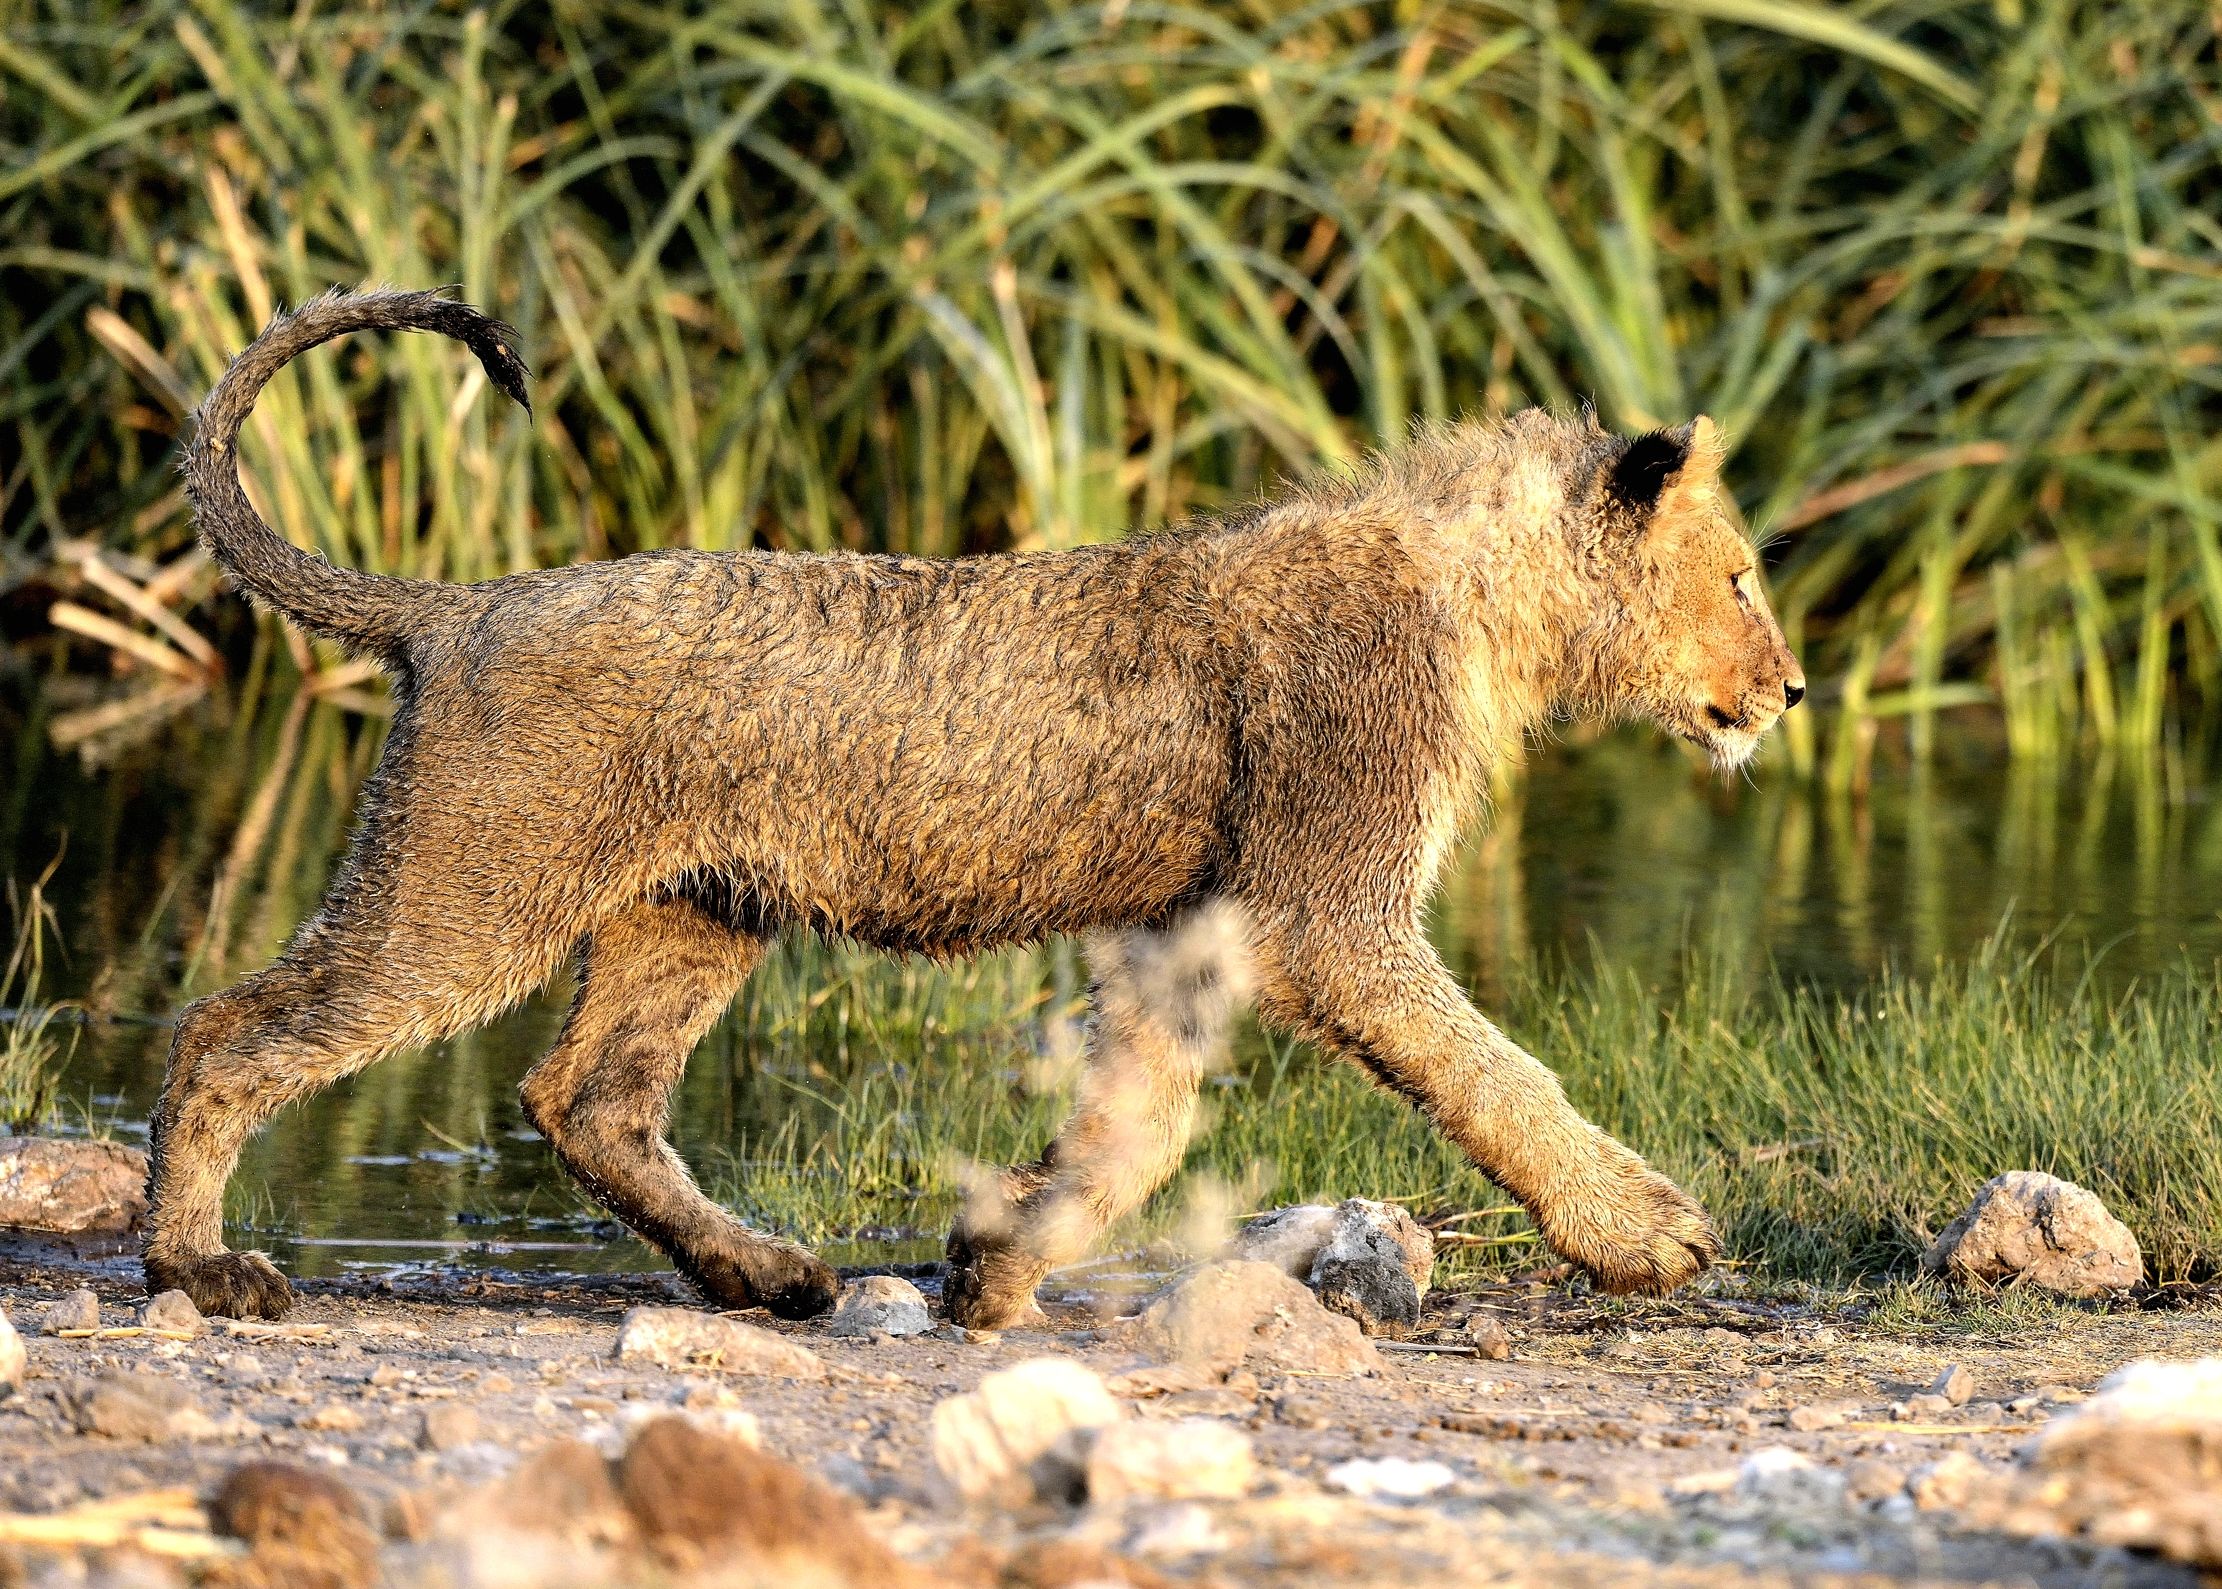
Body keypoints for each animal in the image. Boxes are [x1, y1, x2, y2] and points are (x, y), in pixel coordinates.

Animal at [146, 288, 1803, 1323]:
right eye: (1736, 574)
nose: (1790, 691)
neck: (1477, 593)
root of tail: (461, 604)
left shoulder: (1197, 925)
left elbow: (1138, 1119)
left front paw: (996, 1267)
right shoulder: (1327, 909)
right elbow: (1492, 1072)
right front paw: (1646, 1233)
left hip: (692, 913)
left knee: (586, 1098)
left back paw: (770, 1278)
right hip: (467, 884)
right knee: (228, 1028)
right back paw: (194, 1270)